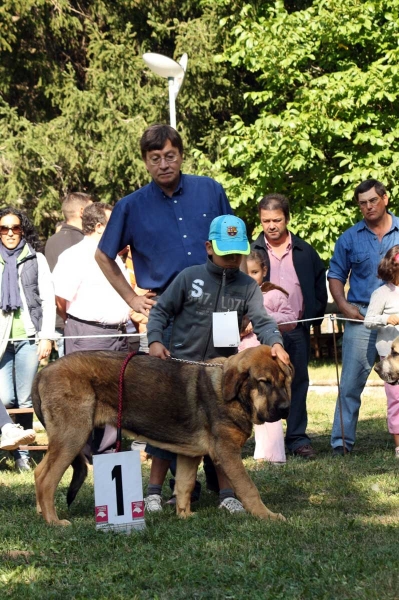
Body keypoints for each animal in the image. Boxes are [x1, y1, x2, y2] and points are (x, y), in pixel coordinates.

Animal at [32, 346, 294, 524]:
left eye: (285, 381)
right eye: (264, 382)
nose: (285, 409)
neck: (235, 396)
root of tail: (43, 372)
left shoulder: (190, 454)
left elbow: (185, 485)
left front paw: (184, 515)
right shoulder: (227, 453)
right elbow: (249, 488)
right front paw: (267, 516)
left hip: (66, 439)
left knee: (39, 472)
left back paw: (41, 511)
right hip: (73, 436)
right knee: (47, 479)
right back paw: (54, 521)